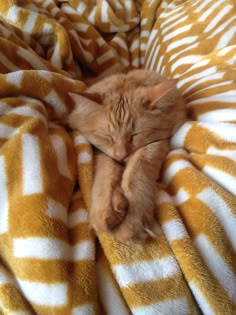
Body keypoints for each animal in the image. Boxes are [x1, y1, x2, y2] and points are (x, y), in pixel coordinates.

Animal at [67, 69, 186, 244]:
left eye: (134, 136)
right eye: (108, 137)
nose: (122, 155)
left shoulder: (156, 143)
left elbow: (135, 175)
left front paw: (131, 223)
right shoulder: (101, 151)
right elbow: (107, 175)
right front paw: (105, 210)